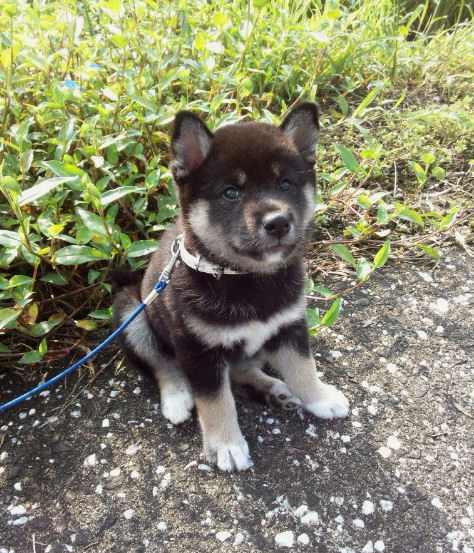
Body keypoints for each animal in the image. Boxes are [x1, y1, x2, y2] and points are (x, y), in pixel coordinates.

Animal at [112, 102, 349, 471]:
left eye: (285, 184)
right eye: (231, 192)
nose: (278, 223)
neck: (243, 277)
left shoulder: (288, 326)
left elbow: (303, 367)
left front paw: (320, 397)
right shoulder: (198, 350)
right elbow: (215, 400)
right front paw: (225, 444)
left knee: (240, 368)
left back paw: (273, 391)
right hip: (131, 312)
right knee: (161, 363)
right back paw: (177, 396)